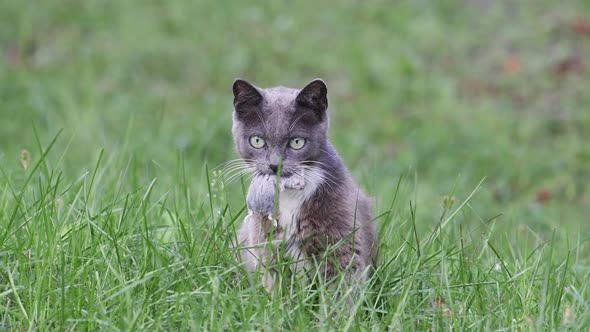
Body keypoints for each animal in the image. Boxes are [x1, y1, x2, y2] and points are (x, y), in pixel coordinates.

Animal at [232, 78, 380, 294]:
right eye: (257, 141)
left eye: (297, 142)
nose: (275, 165)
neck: (288, 194)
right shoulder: (266, 245)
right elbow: (275, 284)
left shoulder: (341, 238)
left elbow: (343, 282)